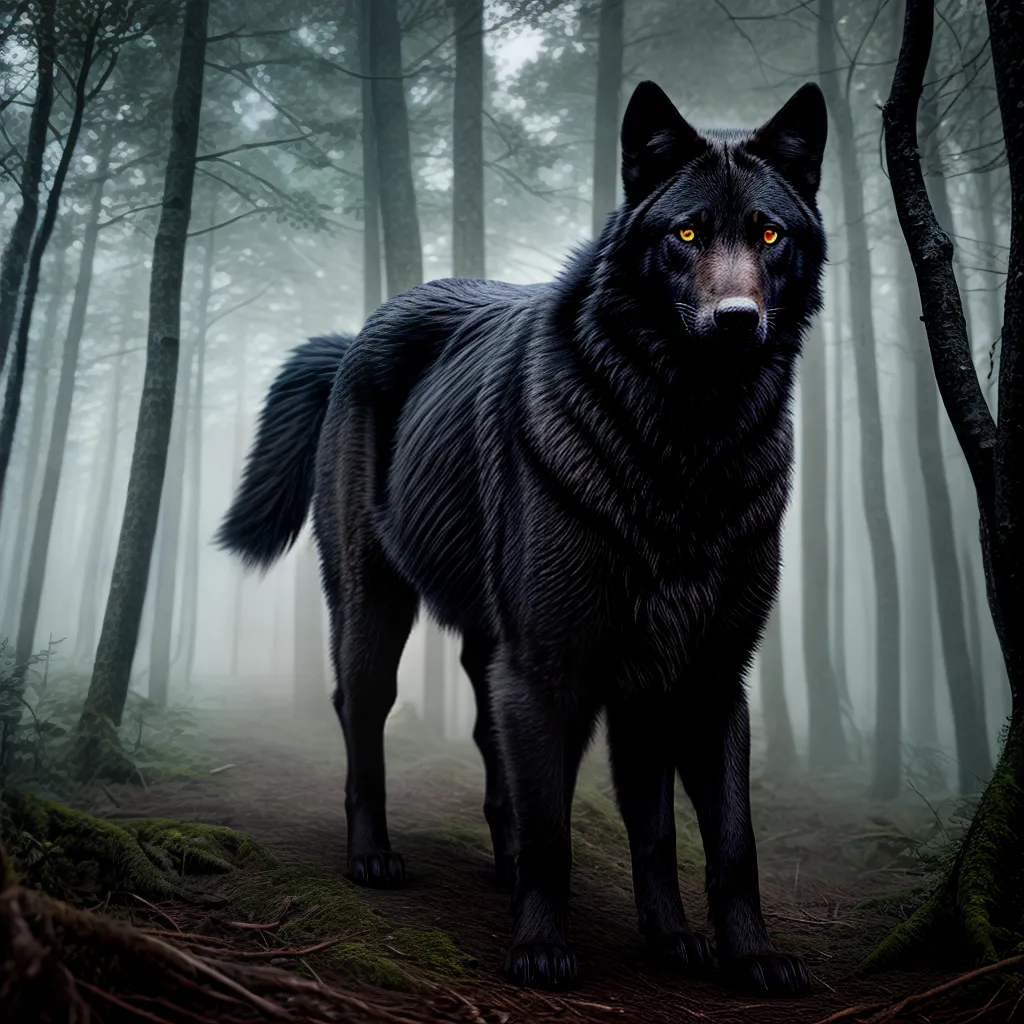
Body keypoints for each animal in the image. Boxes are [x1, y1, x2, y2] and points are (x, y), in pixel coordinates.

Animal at [218, 80, 827, 996]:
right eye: (686, 234)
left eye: (768, 233)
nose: (735, 320)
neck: (687, 447)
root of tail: (355, 334)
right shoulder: (554, 662)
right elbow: (556, 832)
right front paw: (541, 949)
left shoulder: (704, 677)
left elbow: (715, 838)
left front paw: (724, 953)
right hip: (377, 615)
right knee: (362, 715)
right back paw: (375, 859)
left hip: (493, 645)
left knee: (489, 744)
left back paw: (503, 869)